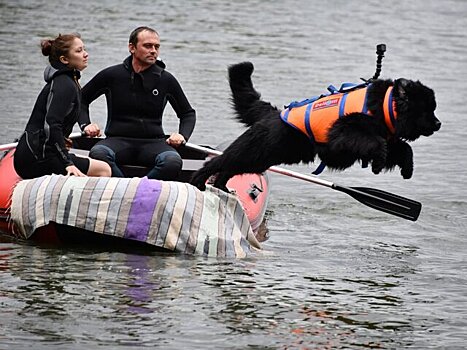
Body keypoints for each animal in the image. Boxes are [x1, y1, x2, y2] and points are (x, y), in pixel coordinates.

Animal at [191, 60, 442, 191]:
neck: (384, 106)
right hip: (254, 150)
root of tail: (274, 114)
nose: (438, 123)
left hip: (261, 158)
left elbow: (402, 148)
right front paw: (378, 163)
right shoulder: (345, 133)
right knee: (219, 162)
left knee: (230, 168)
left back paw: (222, 187)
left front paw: (407, 168)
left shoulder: (390, 137)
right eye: (427, 109)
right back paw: (199, 180)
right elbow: (376, 143)